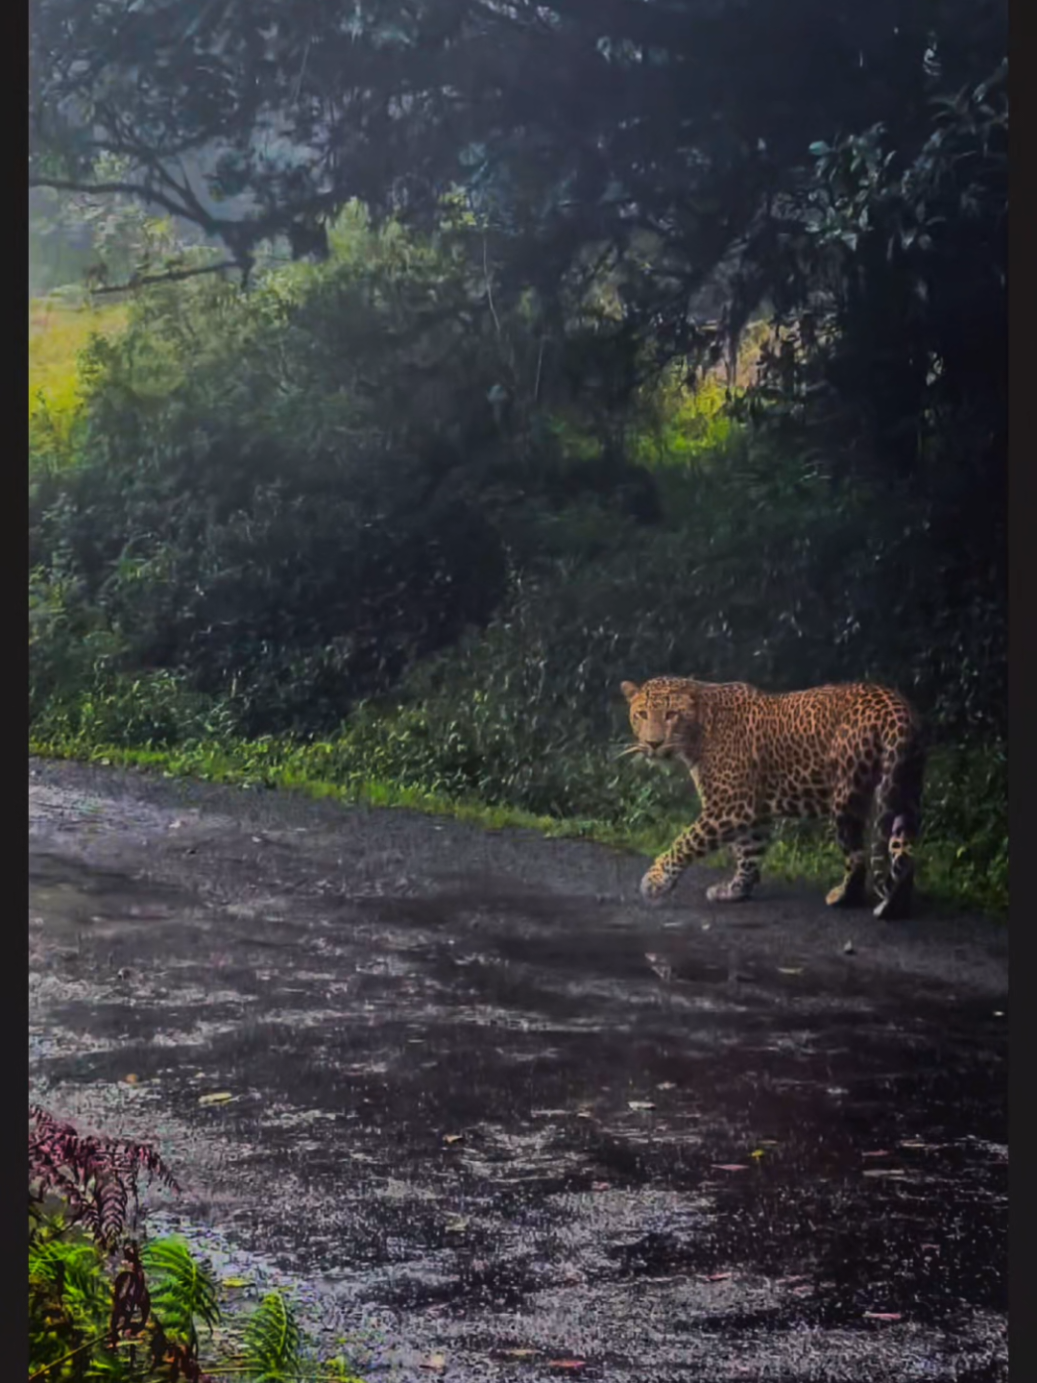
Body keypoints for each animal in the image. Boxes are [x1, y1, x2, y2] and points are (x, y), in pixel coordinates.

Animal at [620, 676, 925, 920]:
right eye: (642, 714)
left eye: (671, 714)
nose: (653, 744)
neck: (698, 730)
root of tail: (895, 707)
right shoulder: (753, 812)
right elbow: (749, 852)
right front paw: (735, 891)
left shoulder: (729, 807)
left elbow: (685, 841)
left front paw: (655, 881)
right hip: (906, 791)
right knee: (904, 853)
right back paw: (896, 906)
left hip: (847, 800)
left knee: (858, 857)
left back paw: (843, 896)